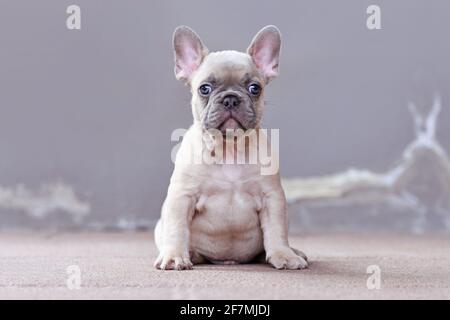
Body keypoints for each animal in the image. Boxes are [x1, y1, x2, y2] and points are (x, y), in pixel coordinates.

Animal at [153, 25, 308, 270]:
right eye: (204, 88)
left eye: (255, 88)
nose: (231, 99)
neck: (229, 149)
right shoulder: (182, 197)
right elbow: (177, 229)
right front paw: (174, 255)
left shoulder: (272, 198)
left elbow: (276, 231)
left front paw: (283, 254)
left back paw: (293, 251)